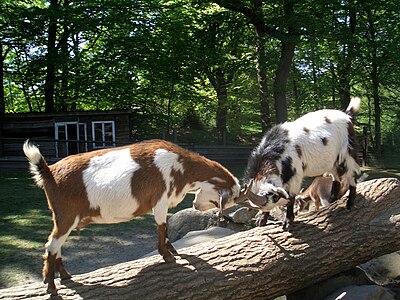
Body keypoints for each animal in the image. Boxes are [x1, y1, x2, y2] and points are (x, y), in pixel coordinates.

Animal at [24, 139, 241, 294]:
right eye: (222, 201)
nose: (195, 205)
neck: (182, 167)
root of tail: (49, 172)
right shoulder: (160, 199)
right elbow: (162, 226)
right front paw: (168, 255)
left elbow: (165, 228)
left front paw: (173, 250)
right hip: (67, 215)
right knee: (51, 245)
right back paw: (51, 287)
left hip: (63, 217)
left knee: (56, 244)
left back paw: (65, 275)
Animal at [238, 97, 362, 229]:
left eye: (276, 197)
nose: (284, 200)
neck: (276, 150)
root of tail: (347, 115)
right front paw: (261, 220)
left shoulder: (296, 174)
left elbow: (292, 196)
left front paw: (288, 221)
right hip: (332, 161)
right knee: (336, 178)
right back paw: (331, 202)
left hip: (348, 153)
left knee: (352, 176)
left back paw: (349, 204)